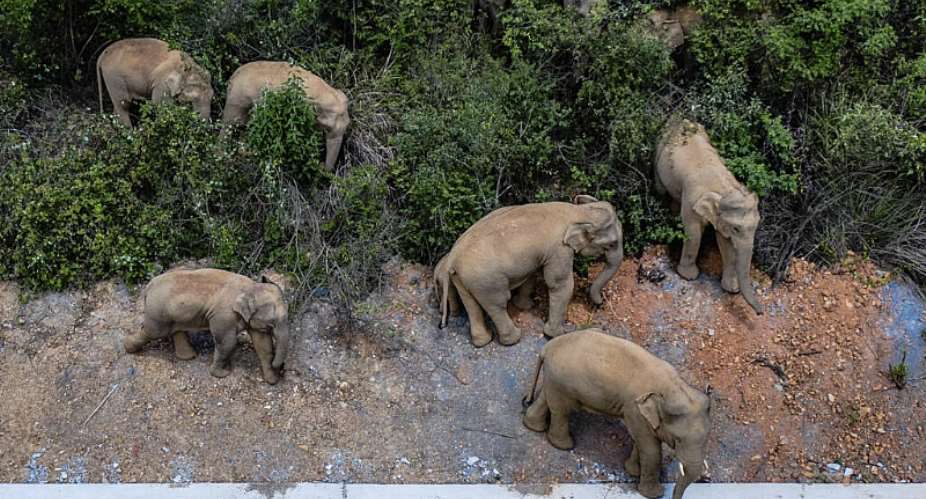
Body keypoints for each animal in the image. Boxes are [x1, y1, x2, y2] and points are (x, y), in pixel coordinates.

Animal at [124, 268, 290, 385]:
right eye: (273, 321)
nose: (281, 369)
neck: (251, 286)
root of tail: (148, 286)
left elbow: (263, 344)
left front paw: (272, 380)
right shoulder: (223, 315)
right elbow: (227, 343)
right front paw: (222, 374)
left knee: (176, 330)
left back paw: (189, 357)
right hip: (158, 311)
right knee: (152, 331)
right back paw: (128, 348)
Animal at [222, 61, 350, 170]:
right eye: (328, 127)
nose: (321, 165)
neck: (325, 91)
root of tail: (232, 78)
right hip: (237, 100)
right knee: (229, 125)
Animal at [435, 195, 623, 347]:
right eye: (612, 244)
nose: (599, 304)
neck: (578, 212)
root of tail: (453, 257)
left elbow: (531, 274)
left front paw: (526, 306)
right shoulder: (559, 249)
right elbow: (560, 284)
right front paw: (557, 334)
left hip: (463, 278)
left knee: (471, 304)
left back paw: (482, 342)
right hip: (486, 281)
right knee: (498, 304)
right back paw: (514, 339)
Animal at [523, 328, 711, 499]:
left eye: (706, 439)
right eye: (678, 440)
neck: (674, 387)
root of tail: (548, 346)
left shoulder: (639, 414)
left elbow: (640, 442)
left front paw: (633, 471)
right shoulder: (634, 409)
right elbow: (651, 450)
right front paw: (654, 494)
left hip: (555, 378)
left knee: (547, 398)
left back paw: (533, 426)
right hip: (563, 381)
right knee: (562, 410)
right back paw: (564, 446)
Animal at [654, 119, 763, 315]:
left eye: (756, 225)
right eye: (736, 228)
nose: (760, 313)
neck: (723, 188)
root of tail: (678, 118)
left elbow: (725, 242)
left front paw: (731, 289)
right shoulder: (691, 198)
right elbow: (693, 232)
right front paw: (689, 277)